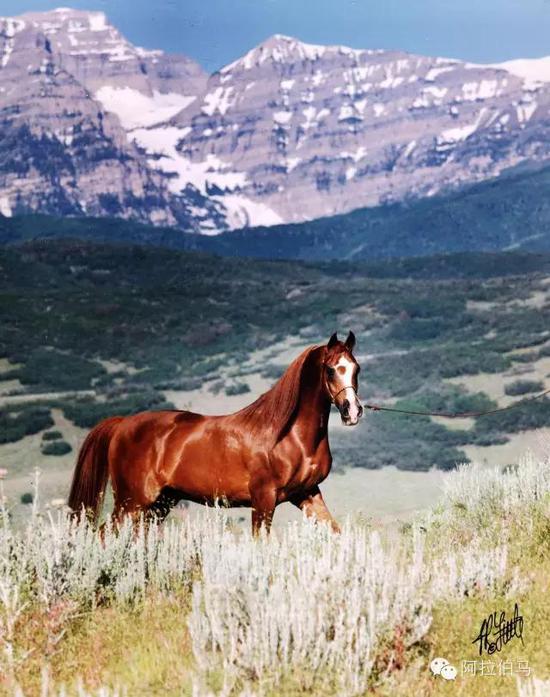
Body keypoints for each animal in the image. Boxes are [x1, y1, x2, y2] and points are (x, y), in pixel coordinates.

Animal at [68, 332, 362, 532]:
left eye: (356, 369)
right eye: (330, 369)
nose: (353, 411)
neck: (290, 437)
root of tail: (122, 424)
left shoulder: (307, 493)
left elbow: (336, 532)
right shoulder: (264, 499)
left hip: (159, 503)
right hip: (132, 501)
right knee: (106, 534)